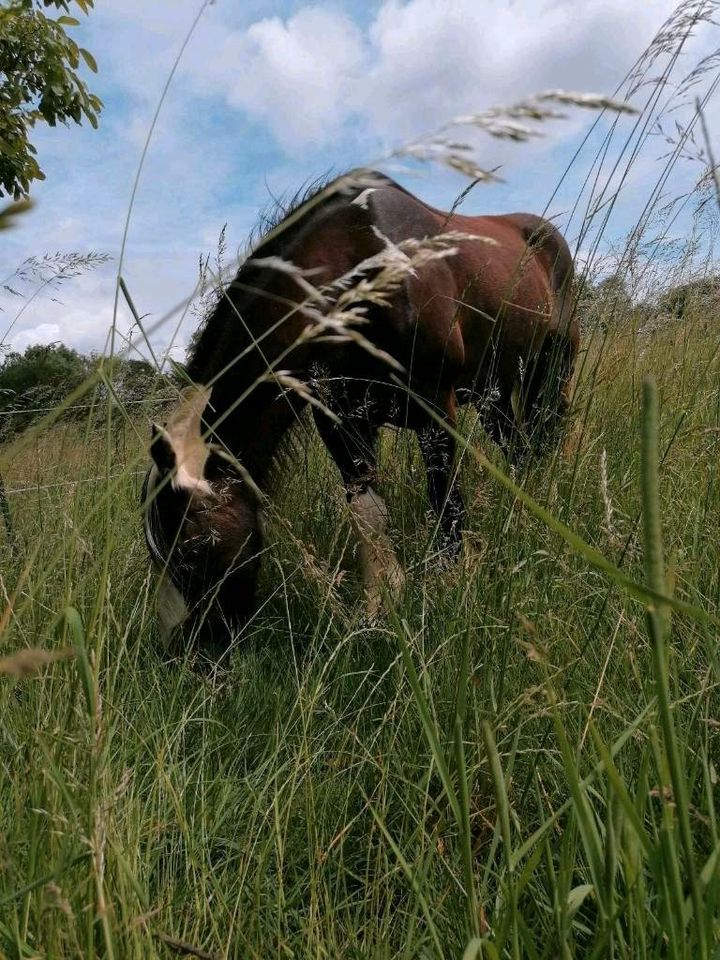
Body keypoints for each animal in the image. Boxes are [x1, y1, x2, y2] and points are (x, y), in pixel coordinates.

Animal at [142, 172, 580, 652]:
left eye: (190, 552)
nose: (178, 654)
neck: (363, 269)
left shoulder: (435, 404)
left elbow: (445, 498)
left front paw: (448, 581)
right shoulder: (339, 420)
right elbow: (367, 513)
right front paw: (381, 602)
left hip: (551, 368)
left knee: (546, 433)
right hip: (494, 392)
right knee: (519, 448)